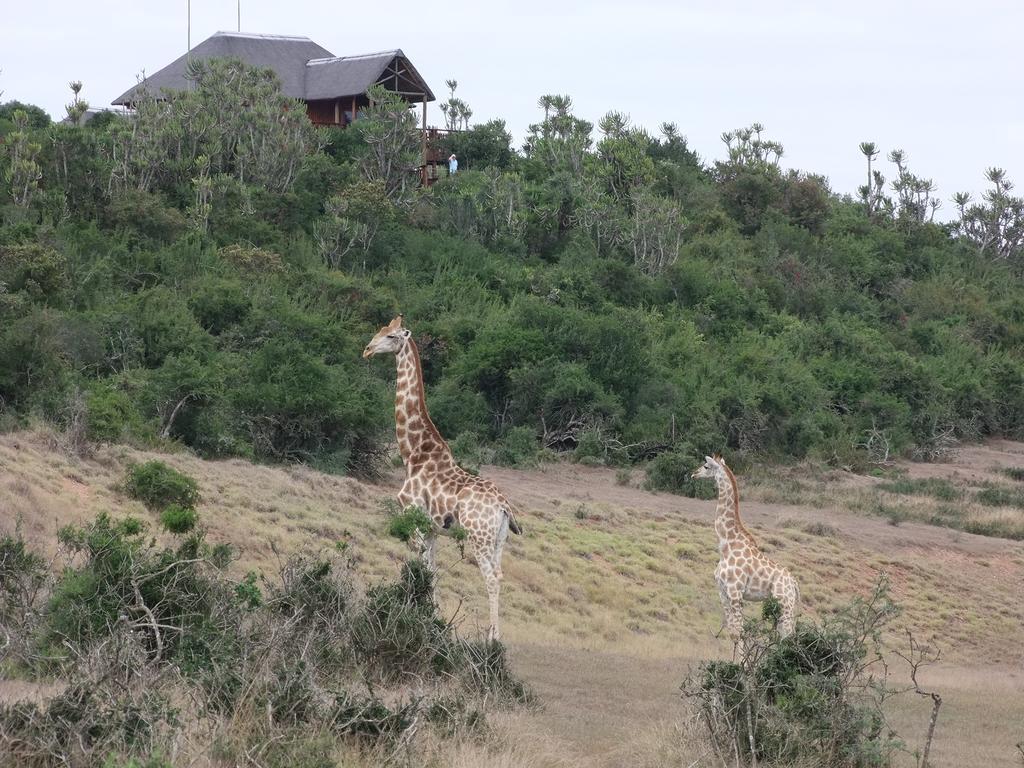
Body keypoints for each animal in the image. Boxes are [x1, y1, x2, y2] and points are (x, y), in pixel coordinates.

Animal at [362, 315, 524, 638]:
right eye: (380, 330)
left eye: (391, 336)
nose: (367, 350)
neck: (412, 452)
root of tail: (504, 507)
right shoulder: (433, 528)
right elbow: (432, 569)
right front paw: (432, 617)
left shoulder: (413, 516)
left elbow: (421, 567)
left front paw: (419, 614)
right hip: (499, 539)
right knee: (500, 574)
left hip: (478, 537)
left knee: (490, 577)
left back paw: (492, 638)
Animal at [688, 454, 798, 647]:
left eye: (706, 466)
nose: (693, 474)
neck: (726, 545)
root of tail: (794, 584)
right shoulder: (722, 592)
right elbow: (732, 632)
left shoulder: (735, 592)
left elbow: (739, 633)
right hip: (782, 606)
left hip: (785, 603)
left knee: (788, 636)